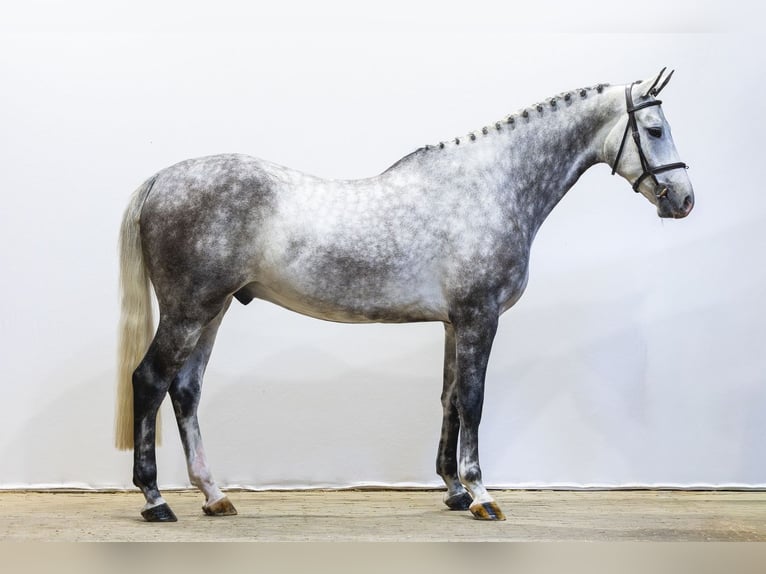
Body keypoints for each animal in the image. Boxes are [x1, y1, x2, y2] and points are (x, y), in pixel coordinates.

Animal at [115, 68, 694, 522]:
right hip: (189, 310)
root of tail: (160, 179)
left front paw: (454, 490)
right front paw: (482, 495)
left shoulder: (454, 322)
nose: (684, 200)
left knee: (186, 390)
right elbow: (474, 401)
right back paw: (155, 500)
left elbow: (450, 399)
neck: (489, 187)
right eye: (654, 129)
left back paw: (213, 496)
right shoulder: (480, 318)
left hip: (211, 312)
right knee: (150, 379)